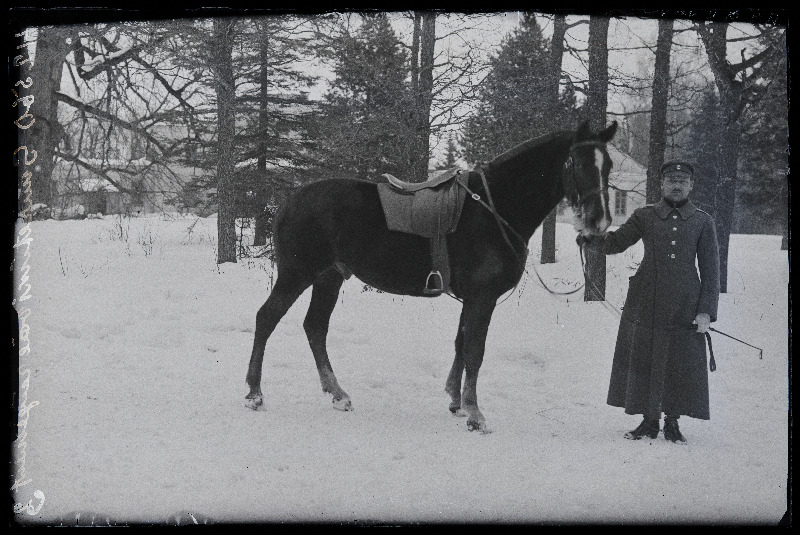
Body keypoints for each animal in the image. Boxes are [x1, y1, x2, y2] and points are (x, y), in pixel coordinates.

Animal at [244, 119, 620, 434]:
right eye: (578, 163)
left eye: (608, 166)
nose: (599, 222)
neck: (495, 208)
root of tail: (291, 200)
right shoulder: (483, 297)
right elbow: (475, 349)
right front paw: (475, 414)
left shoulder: (471, 299)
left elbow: (461, 343)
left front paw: (456, 401)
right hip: (298, 273)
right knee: (267, 318)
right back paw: (254, 393)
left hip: (329, 277)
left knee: (315, 327)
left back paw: (338, 393)